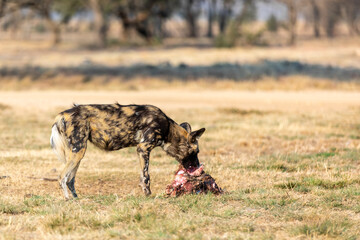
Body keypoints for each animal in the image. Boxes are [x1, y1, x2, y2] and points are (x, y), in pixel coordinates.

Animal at [50, 104, 205, 200]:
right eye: (196, 152)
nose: (198, 166)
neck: (169, 130)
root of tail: (62, 115)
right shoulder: (143, 148)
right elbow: (146, 176)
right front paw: (148, 195)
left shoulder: (142, 149)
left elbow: (143, 176)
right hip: (79, 151)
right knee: (62, 177)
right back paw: (68, 199)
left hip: (78, 152)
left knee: (70, 180)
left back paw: (77, 198)